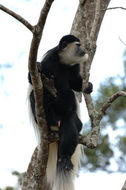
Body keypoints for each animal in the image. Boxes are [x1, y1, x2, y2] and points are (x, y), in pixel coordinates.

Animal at [28, 34, 93, 190]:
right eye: (78, 45)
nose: (84, 49)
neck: (63, 62)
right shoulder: (49, 61)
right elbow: (32, 79)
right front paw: (37, 67)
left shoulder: (74, 67)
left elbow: (75, 83)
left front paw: (88, 86)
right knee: (35, 95)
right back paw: (50, 116)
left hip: (71, 121)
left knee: (71, 122)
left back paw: (65, 158)